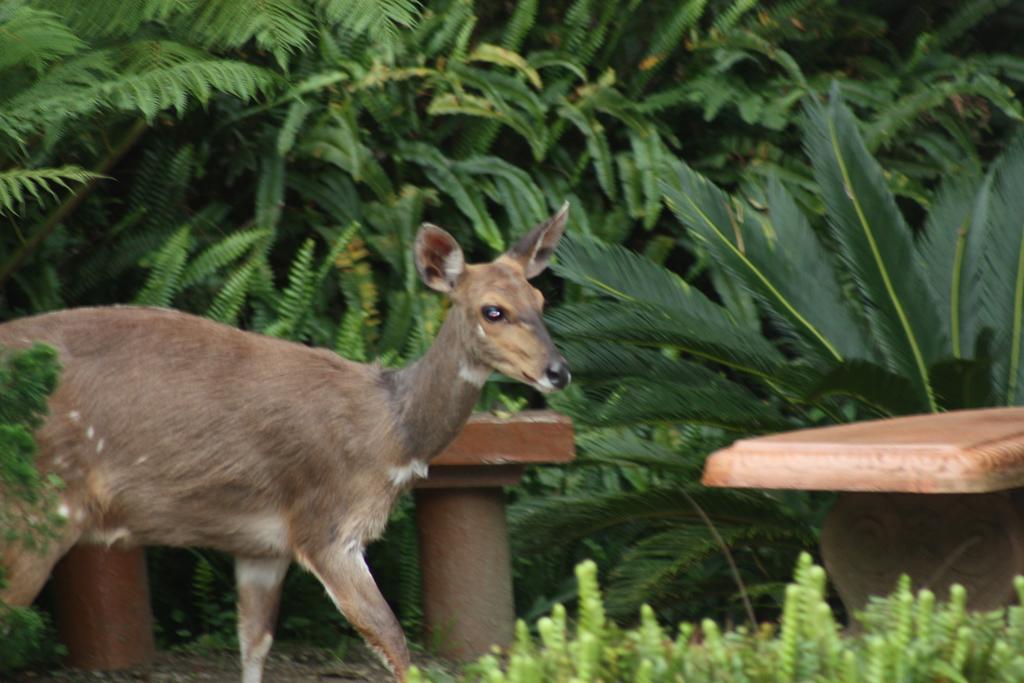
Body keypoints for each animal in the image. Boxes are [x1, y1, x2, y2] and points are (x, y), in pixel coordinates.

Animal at [0, 205, 573, 679]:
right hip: (40, 507)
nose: (558, 371)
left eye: (540, 298)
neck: (389, 435)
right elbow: (394, 641)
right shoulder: (326, 527)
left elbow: (254, 647)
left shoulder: (262, 543)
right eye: (492, 310)